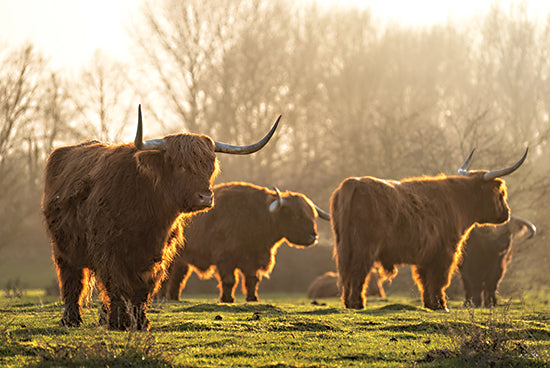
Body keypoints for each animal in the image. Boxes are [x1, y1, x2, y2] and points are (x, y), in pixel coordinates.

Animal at [41, 106, 280, 330]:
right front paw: (120, 322)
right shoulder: (109, 249)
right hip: (63, 249)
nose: (206, 197)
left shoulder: (156, 253)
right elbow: (118, 285)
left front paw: (140, 322)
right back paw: (71, 320)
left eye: (209, 166)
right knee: (72, 281)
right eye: (181, 166)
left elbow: (143, 288)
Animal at [161, 181, 332, 302]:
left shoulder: (254, 259)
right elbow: (230, 280)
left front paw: (252, 298)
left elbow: (252, 280)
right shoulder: (226, 258)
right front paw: (227, 299)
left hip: (181, 261)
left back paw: (174, 298)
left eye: (313, 216)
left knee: (177, 278)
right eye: (296, 216)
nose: (313, 237)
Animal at [332, 149, 532, 310]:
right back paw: (357, 304)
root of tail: (354, 182)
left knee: (346, 273)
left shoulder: (426, 255)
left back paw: (348, 303)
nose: (507, 212)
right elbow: (440, 279)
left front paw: (430, 304)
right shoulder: (445, 252)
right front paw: (441, 305)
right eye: (501, 194)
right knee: (358, 272)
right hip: (364, 247)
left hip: (344, 246)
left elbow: (425, 281)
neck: (459, 201)